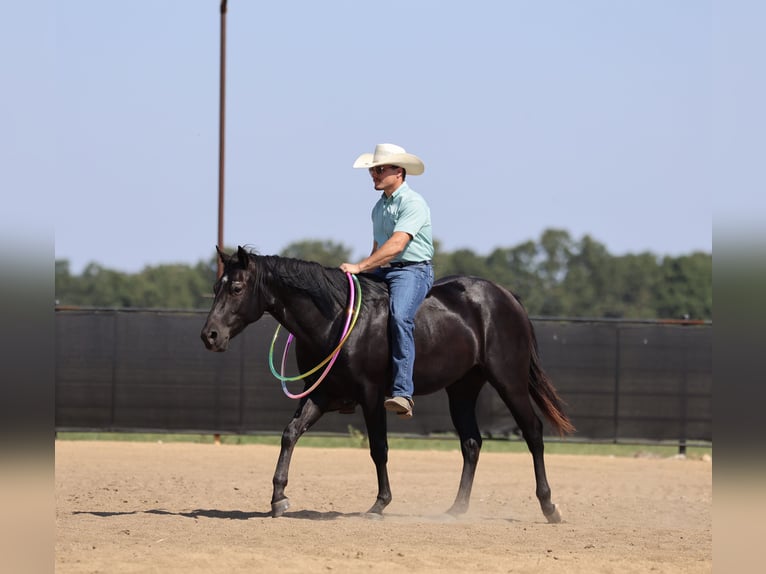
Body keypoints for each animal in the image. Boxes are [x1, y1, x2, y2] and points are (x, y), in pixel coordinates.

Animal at [200, 246, 575, 522]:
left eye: (236, 288)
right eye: (216, 287)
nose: (210, 335)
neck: (337, 319)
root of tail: (506, 296)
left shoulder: (371, 395)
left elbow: (378, 448)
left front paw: (380, 503)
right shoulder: (321, 395)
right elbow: (290, 434)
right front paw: (278, 497)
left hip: (509, 382)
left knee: (533, 432)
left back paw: (549, 506)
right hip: (462, 388)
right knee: (471, 442)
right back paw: (456, 509)